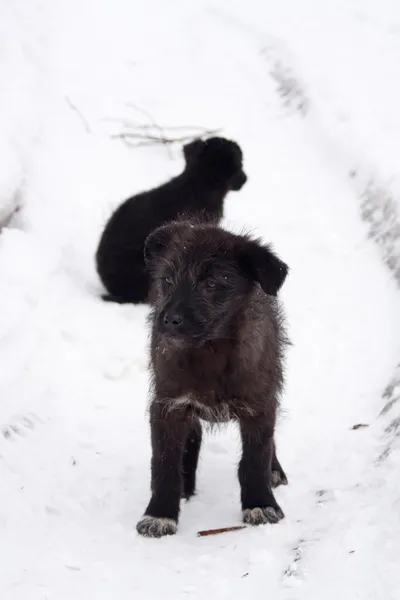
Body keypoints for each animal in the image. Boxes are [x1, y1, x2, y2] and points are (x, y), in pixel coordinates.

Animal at [136, 220, 290, 540]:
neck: (210, 349)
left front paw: (260, 504)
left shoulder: (259, 406)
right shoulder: (168, 406)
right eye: (167, 280)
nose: (169, 320)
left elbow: (255, 459)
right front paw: (160, 514)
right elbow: (164, 464)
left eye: (212, 284)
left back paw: (275, 471)